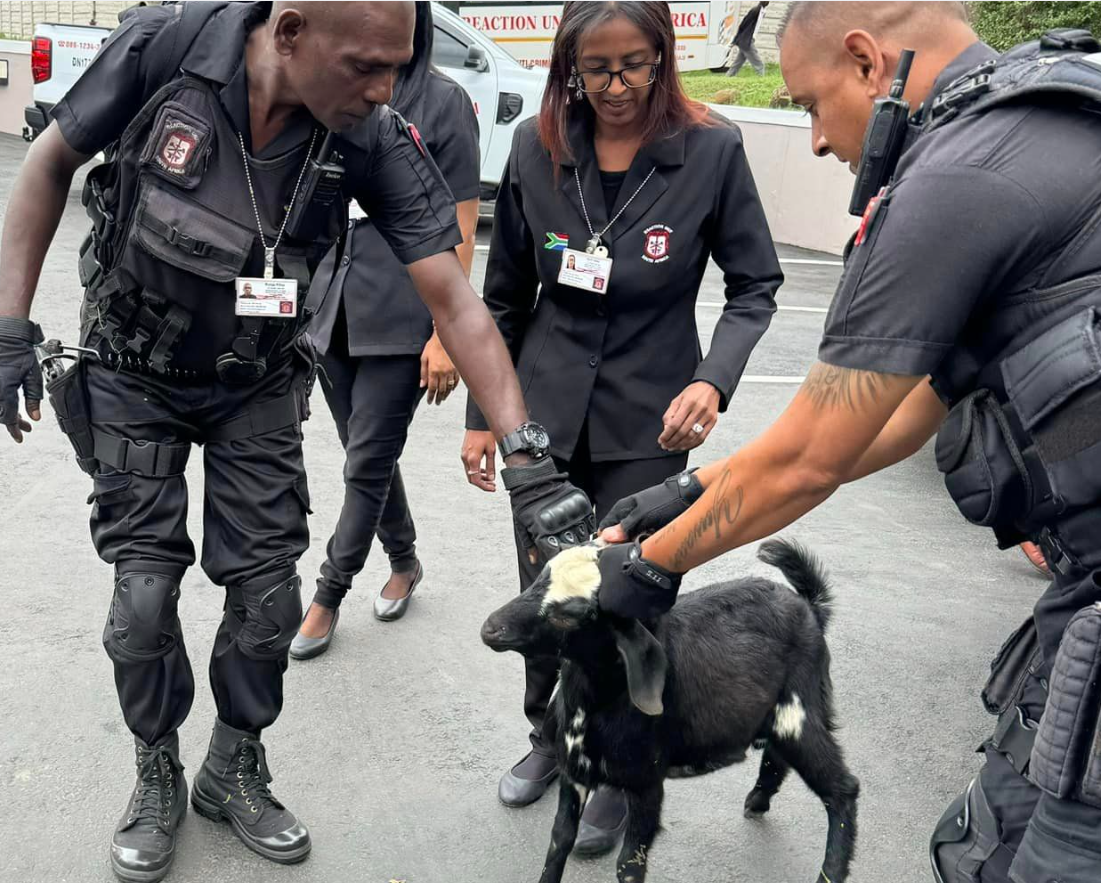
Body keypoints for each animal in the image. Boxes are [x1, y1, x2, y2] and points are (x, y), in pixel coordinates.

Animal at [477, 537, 854, 880]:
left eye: (571, 615)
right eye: (541, 575)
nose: (490, 628)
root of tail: (810, 607)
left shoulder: (647, 783)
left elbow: (629, 864)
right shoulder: (574, 773)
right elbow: (559, 841)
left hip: (801, 709)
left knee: (842, 789)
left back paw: (830, 869)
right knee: (779, 755)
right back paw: (758, 800)